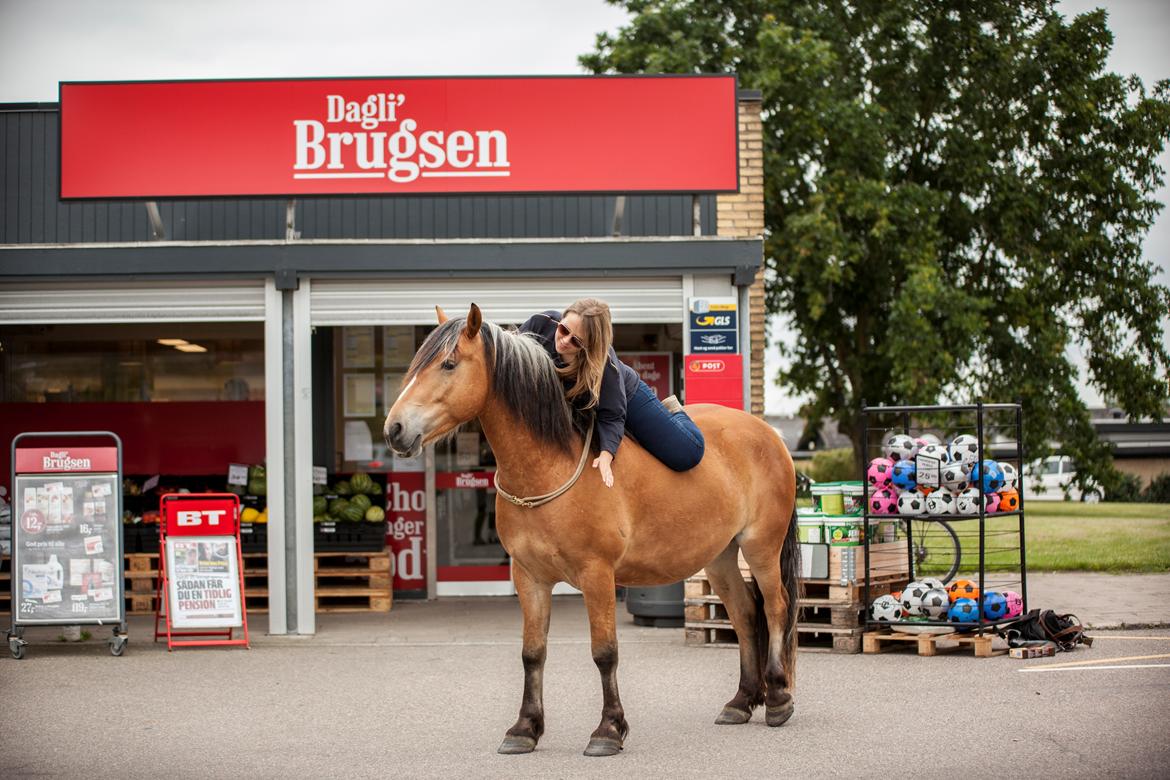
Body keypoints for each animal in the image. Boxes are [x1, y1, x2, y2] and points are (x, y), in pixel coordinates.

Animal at [386, 304, 804, 757]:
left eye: (448, 364)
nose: (394, 429)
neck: (550, 467)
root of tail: (768, 434)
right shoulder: (529, 578)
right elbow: (532, 653)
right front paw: (525, 728)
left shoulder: (597, 575)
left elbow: (605, 652)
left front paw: (608, 729)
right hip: (720, 556)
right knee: (744, 614)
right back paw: (741, 702)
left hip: (761, 548)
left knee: (776, 607)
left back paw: (778, 699)